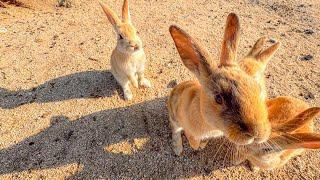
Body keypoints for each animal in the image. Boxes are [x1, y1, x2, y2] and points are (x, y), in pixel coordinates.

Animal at [166, 13, 274, 155]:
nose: (257, 133)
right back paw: (178, 149)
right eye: (218, 98)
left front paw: (202, 145)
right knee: (175, 130)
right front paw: (195, 146)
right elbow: (192, 140)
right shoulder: (188, 128)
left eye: (257, 88)